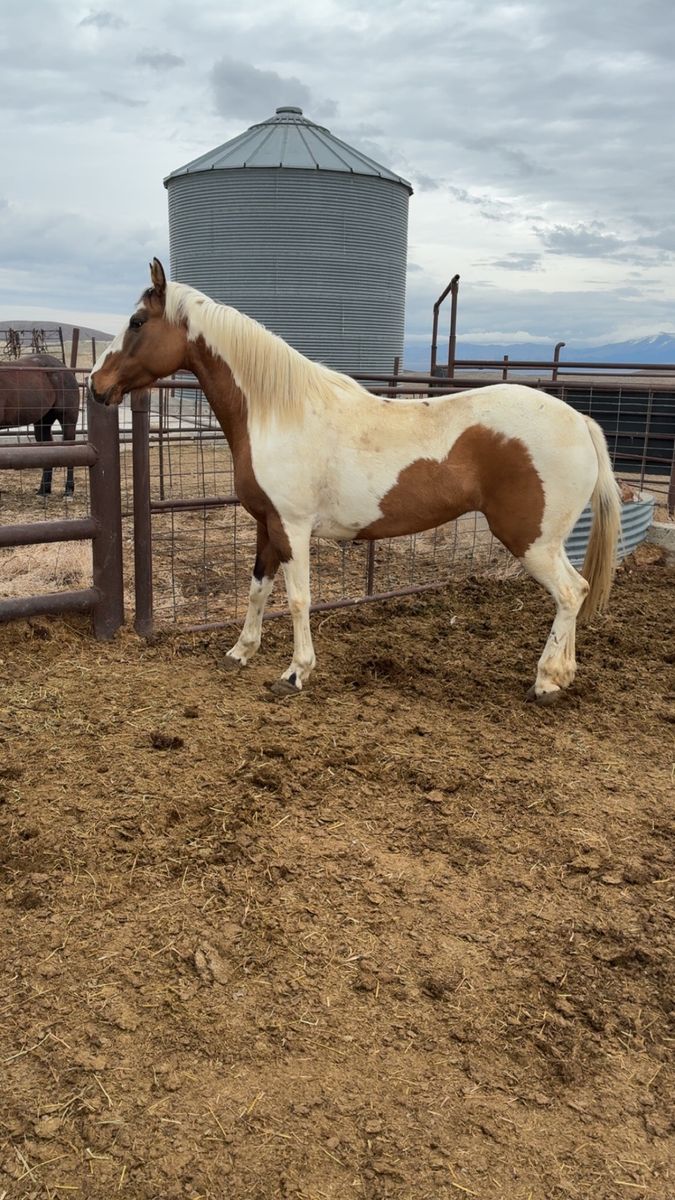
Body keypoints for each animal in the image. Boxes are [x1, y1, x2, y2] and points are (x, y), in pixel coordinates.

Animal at [0, 354, 81, 495]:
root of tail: (64, 368)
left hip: (67, 420)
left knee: (70, 447)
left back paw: (68, 490)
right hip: (43, 422)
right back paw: (44, 490)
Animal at [90, 259, 621, 704]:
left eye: (137, 322)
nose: (96, 385)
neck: (276, 413)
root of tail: (580, 421)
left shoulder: (292, 527)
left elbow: (298, 599)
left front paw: (295, 673)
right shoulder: (266, 524)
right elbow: (258, 588)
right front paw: (240, 652)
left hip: (531, 539)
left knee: (570, 592)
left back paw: (546, 681)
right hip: (545, 541)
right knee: (577, 590)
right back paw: (562, 675)